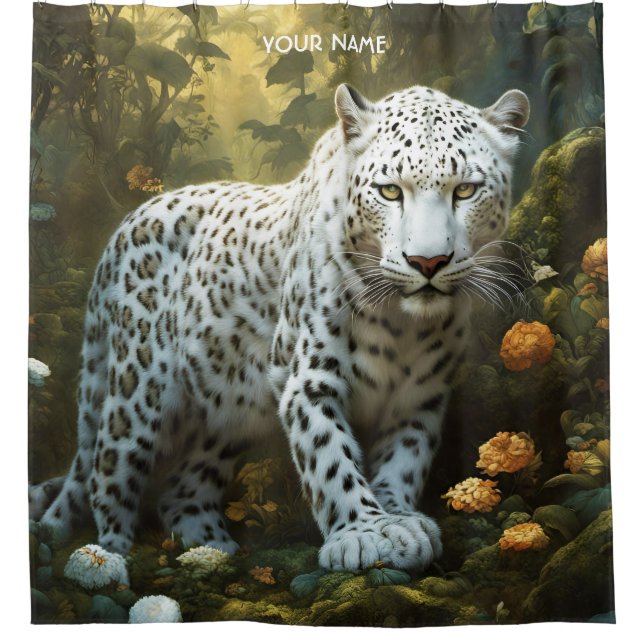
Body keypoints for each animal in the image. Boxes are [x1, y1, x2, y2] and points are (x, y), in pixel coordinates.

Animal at [30, 83, 529, 571]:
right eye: (389, 191)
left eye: (465, 190)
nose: (428, 262)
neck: (402, 326)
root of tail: (123, 228)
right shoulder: (308, 378)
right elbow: (329, 456)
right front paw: (365, 533)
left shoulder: (421, 395)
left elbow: (403, 459)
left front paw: (400, 518)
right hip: (138, 395)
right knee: (107, 471)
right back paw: (109, 558)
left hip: (230, 415)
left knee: (182, 487)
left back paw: (210, 549)